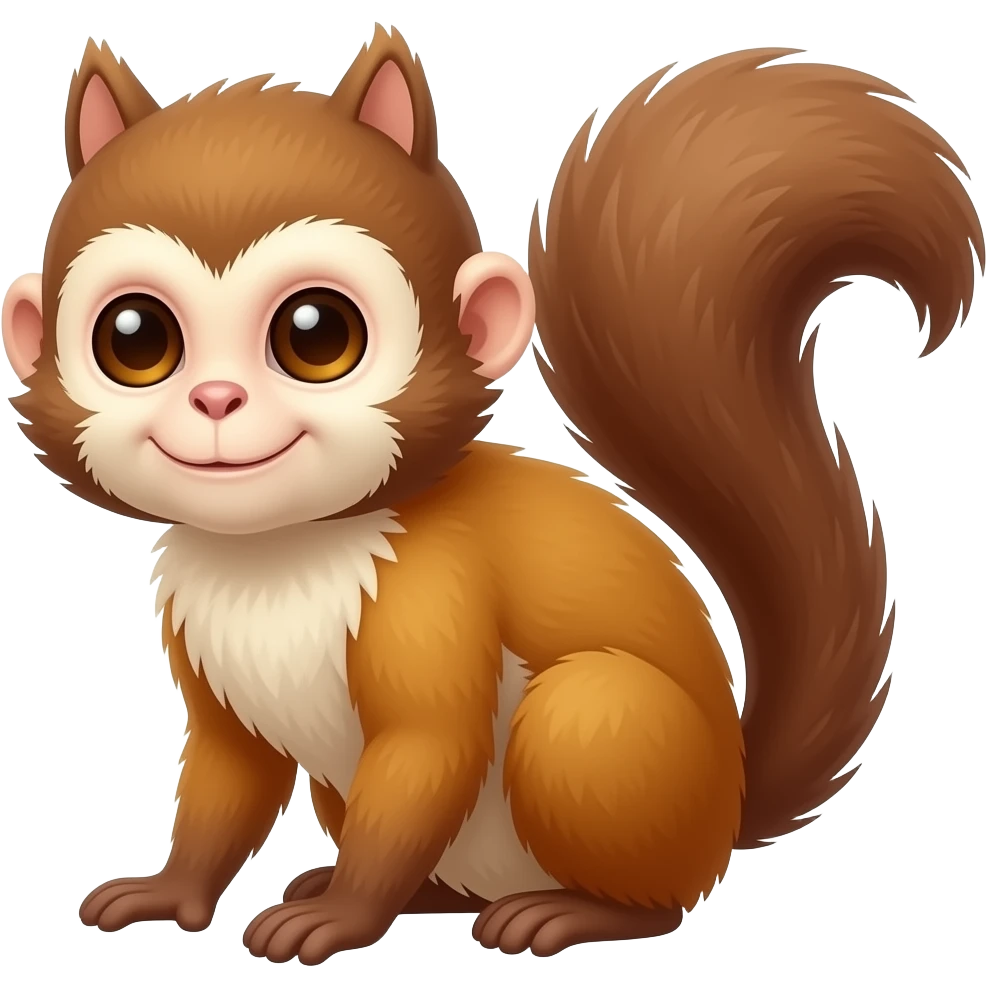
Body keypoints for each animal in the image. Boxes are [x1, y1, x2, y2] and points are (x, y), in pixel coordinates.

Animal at [3, 26, 982, 964]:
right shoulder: (203, 655)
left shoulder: (434, 593)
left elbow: (427, 748)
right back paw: (393, 891)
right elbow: (223, 782)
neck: (277, 553)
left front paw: (337, 922)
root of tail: (726, 811)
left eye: (316, 333)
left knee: (647, 886)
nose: (214, 399)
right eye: (135, 338)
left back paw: (561, 911)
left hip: (595, 733)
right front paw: (172, 894)